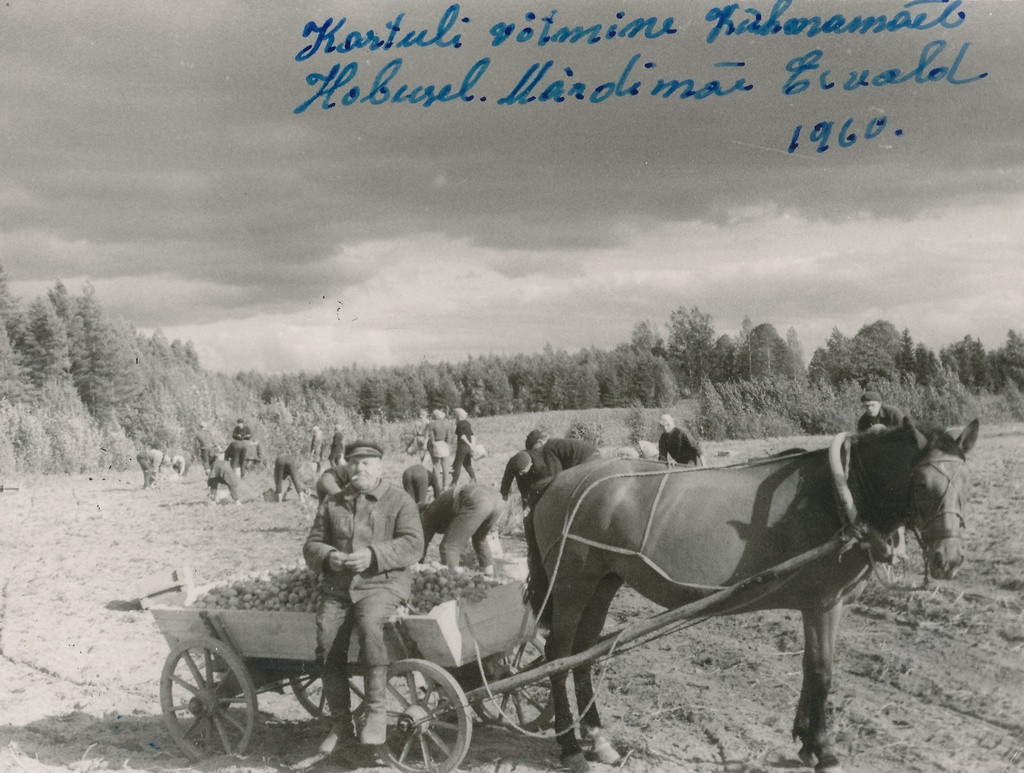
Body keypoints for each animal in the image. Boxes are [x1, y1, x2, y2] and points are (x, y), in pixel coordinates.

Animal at [524, 419, 978, 769]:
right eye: (923, 482)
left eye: (965, 482)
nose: (948, 559)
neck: (841, 492)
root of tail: (554, 483)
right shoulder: (823, 603)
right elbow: (822, 672)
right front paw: (825, 750)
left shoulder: (819, 606)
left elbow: (809, 668)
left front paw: (806, 742)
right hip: (573, 585)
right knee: (559, 656)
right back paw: (570, 746)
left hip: (603, 583)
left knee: (584, 654)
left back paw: (598, 739)